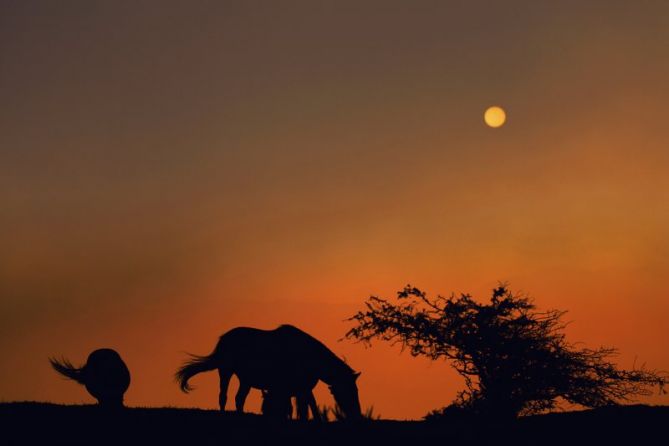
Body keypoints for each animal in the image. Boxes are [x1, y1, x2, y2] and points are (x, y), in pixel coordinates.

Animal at [174, 324, 360, 418]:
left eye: (355, 390)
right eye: (348, 390)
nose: (356, 414)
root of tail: (223, 338)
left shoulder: (300, 389)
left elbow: (306, 408)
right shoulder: (293, 389)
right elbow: (301, 408)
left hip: (245, 380)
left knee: (239, 398)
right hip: (226, 371)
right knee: (223, 396)